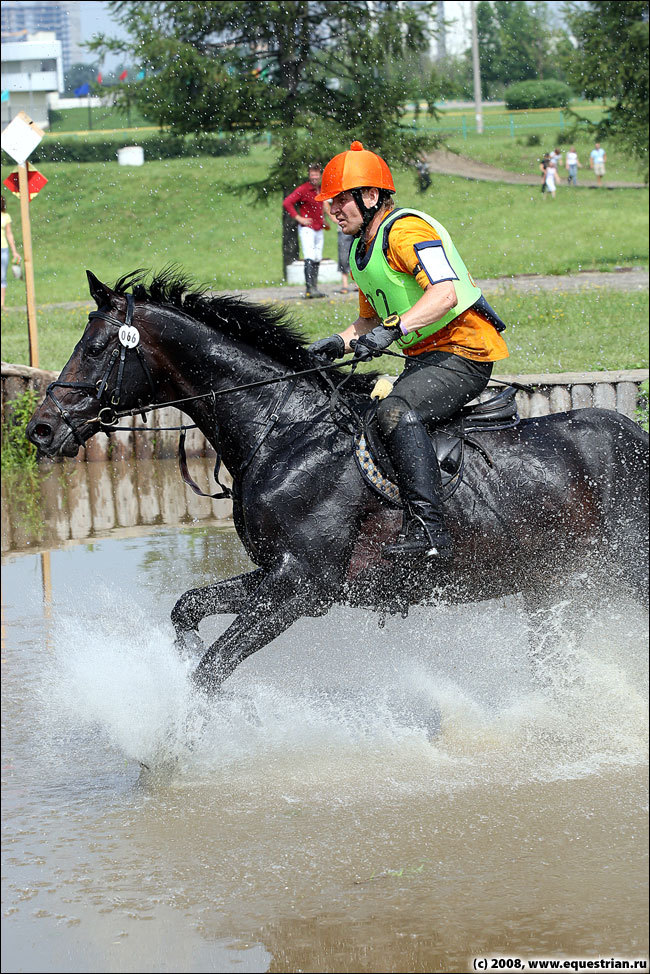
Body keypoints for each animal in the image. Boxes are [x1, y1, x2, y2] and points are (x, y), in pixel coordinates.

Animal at [27, 266, 644, 692]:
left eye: (95, 348)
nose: (40, 428)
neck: (285, 430)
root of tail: (635, 435)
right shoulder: (277, 573)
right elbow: (188, 609)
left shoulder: (302, 587)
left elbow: (212, 670)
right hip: (560, 589)